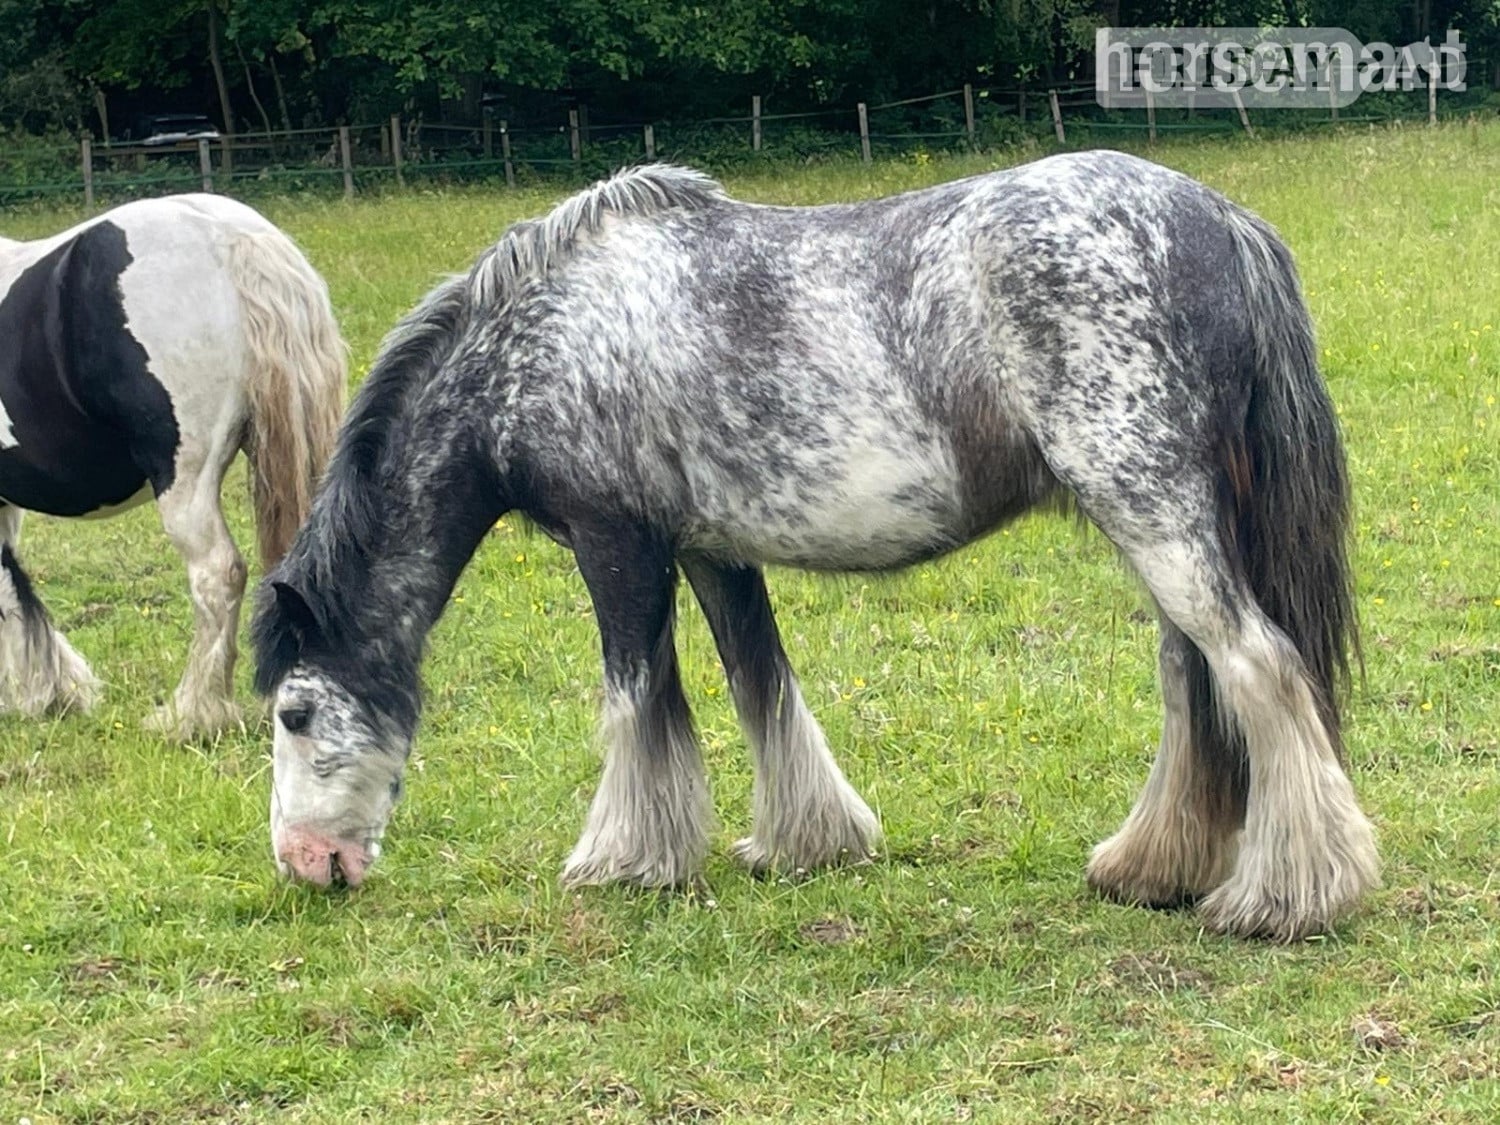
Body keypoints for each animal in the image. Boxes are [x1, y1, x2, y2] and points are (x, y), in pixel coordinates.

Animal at [251, 155, 1378, 940]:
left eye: (295, 713)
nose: (306, 864)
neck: (545, 336)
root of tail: (1219, 219)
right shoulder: (712, 551)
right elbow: (762, 683)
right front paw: (807, 844)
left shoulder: (619, 544)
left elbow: (638, 702)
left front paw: (626, 861)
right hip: (1163, 521)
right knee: (1197, 684)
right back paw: (1156, 870)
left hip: (1151, 508)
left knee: (1260, 670)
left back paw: (1286, 899)